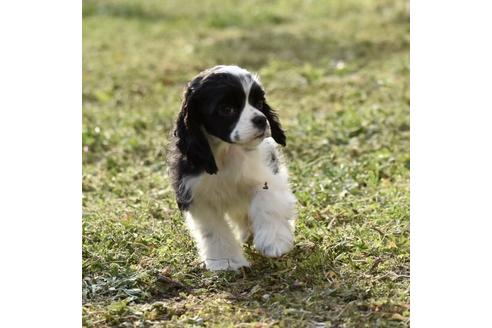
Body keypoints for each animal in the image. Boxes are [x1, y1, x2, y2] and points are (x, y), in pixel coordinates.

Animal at [167, 65, 298, 270]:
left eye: (258, 102)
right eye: (226, 109)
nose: (261, 120)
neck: (227, 152)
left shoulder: (265, 173)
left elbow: (267, 202)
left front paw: (274, 241)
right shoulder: (196, 195)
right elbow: (214, 230)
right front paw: (226, 262)